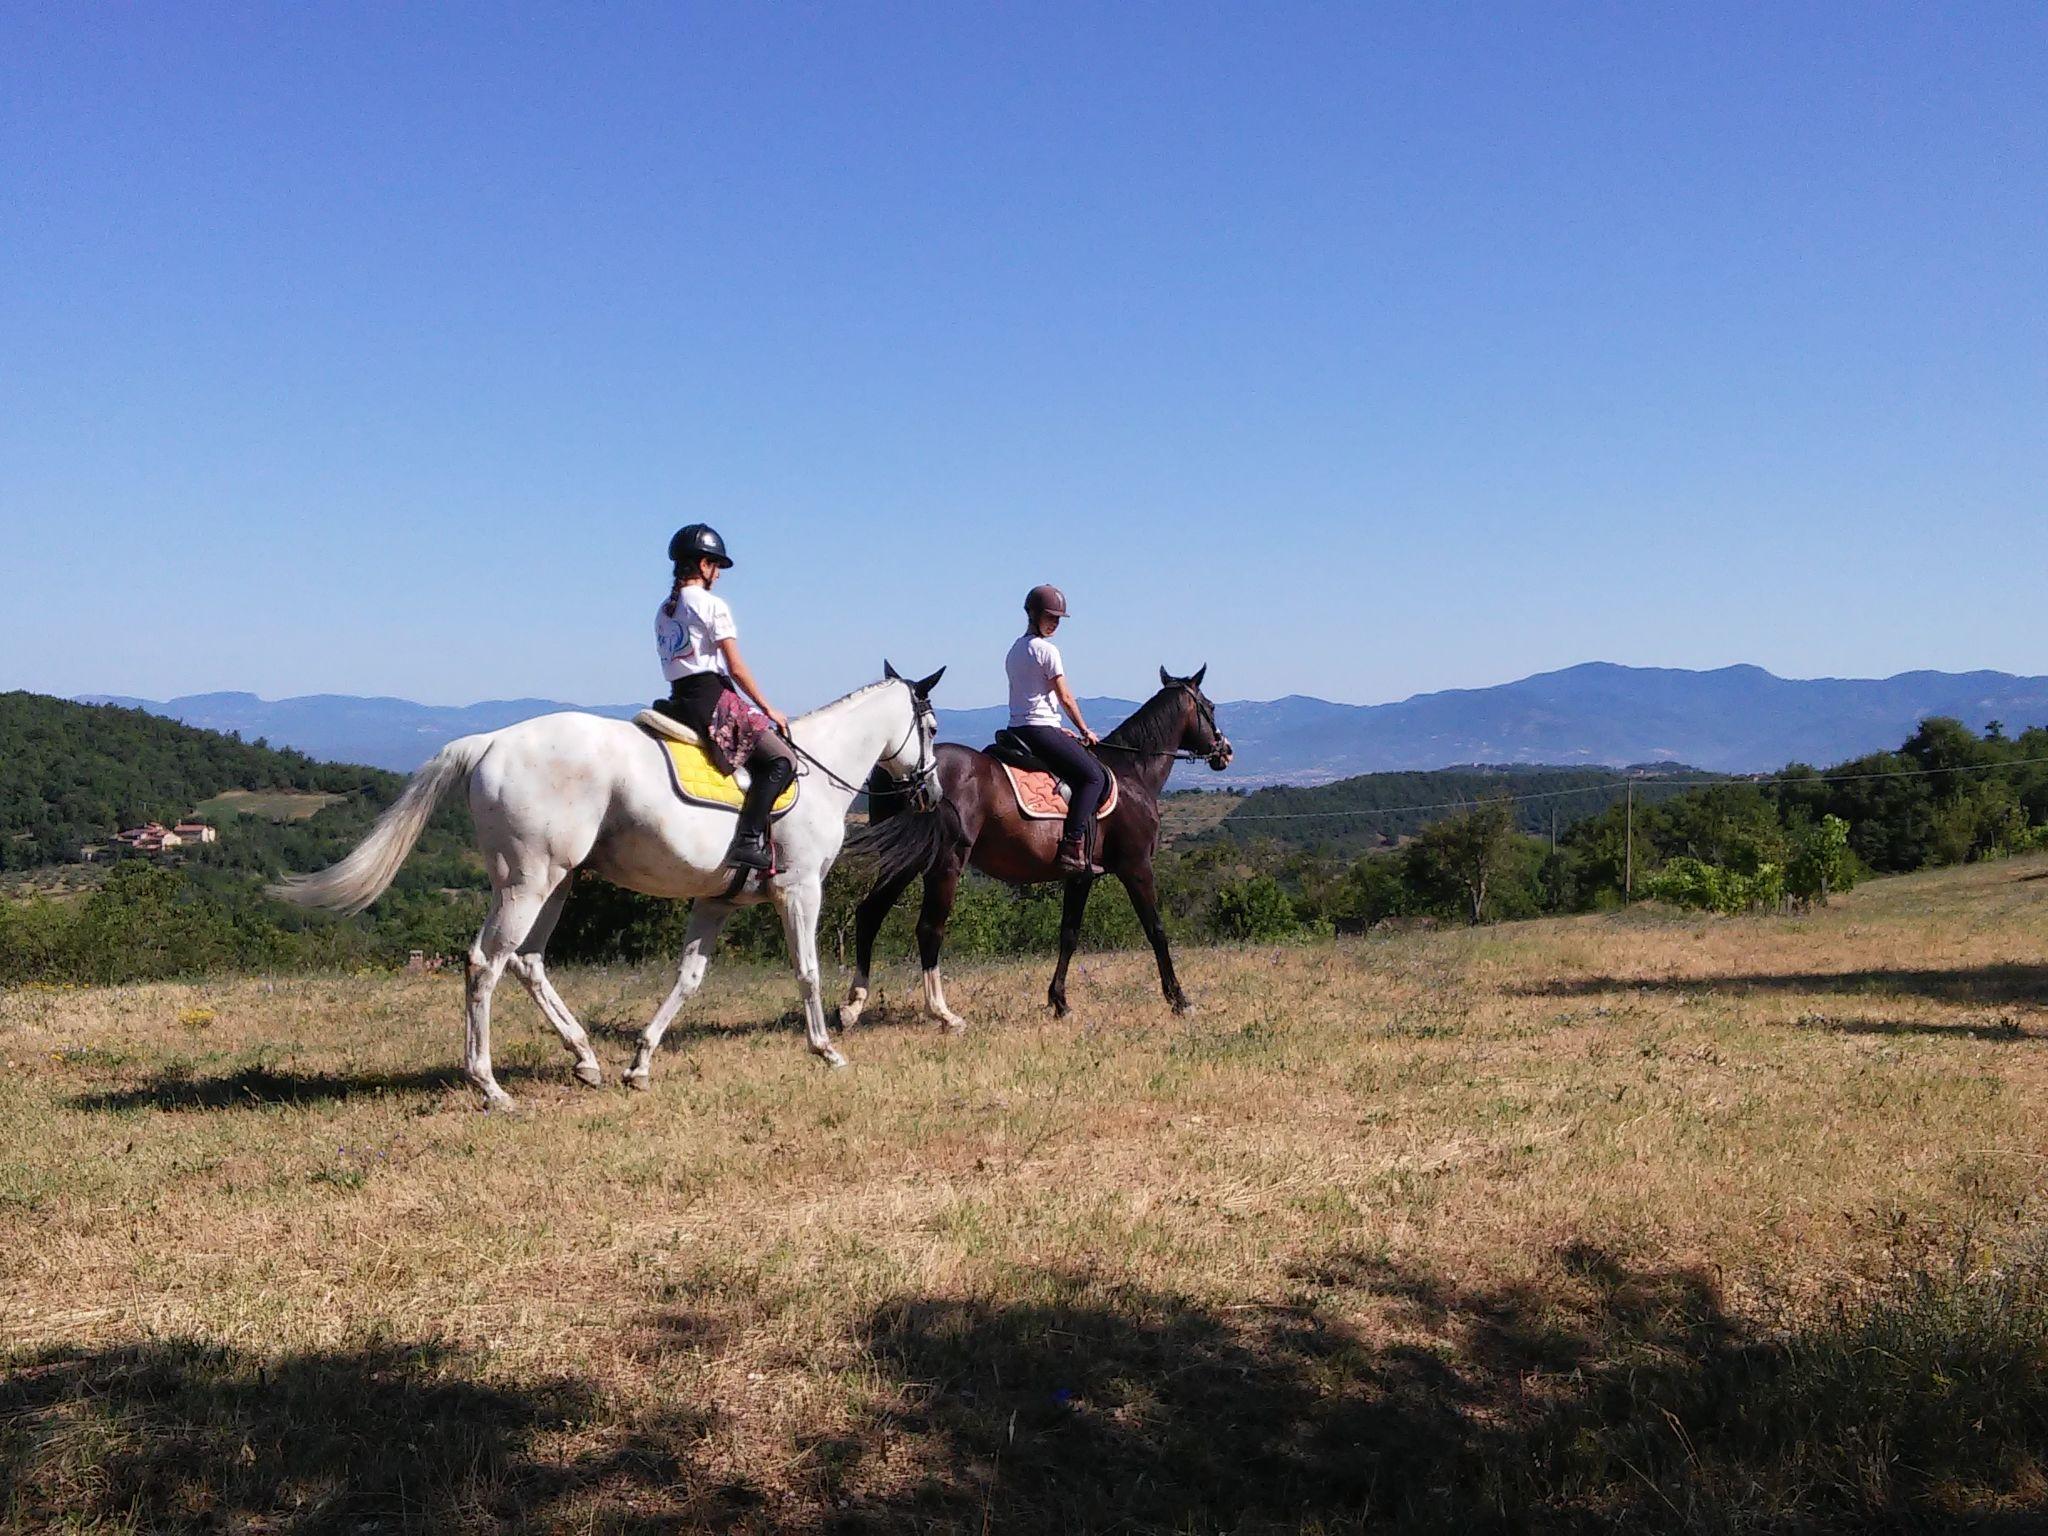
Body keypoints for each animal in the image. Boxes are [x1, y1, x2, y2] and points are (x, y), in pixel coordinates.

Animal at [272, 667, 942, 1114]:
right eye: (931, 726)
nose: (931, 792)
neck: (818, 772)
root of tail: (486, 742)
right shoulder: (800, 890)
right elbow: (807, 970)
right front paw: (826, 1049)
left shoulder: (716, 900)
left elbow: (688, 979)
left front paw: (639, 1063)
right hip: (528, 881)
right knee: (486, 963)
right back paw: (490, 1086)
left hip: (557, 882)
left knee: (527, 960)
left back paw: (585, 1058)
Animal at [835, 671, 1228, 1036]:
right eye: (1209, 707)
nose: (1225, 751)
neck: (1132, 772)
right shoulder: (1137, 866)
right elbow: (1156, 929)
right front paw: (1179, 1000)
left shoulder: (1081, 875)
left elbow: (1069, 934)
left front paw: (1060, 1002)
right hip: (944, 863)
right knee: (929, 929)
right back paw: (944, 1014)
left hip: (906, 858)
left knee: (869, 914)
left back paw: (851, 1008)